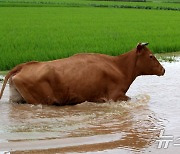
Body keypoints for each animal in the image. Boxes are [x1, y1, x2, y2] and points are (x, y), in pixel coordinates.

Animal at [0, 43, 165, 106]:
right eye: (151, 56)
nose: (163, 70)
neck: (119, 67)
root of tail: (24, 65)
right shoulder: (115, 96)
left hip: (16, 98)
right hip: (43, 100)